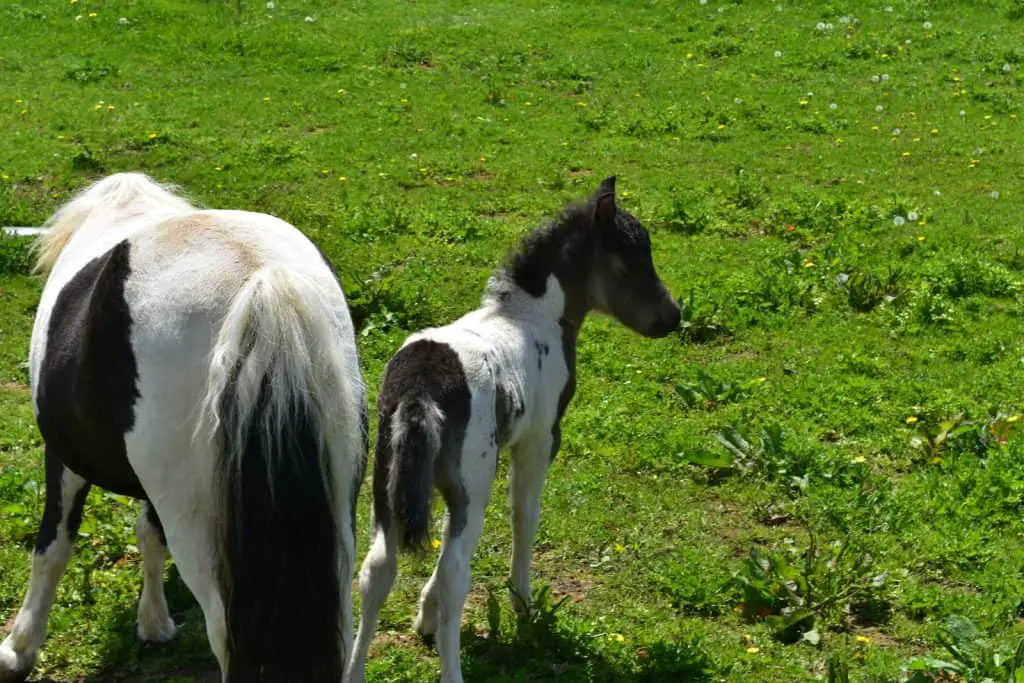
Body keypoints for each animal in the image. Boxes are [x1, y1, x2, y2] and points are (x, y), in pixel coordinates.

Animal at [0, 175, 368, 683]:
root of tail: (261, 278)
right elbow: (148, 535)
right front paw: (154, 623)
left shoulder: (64, 457)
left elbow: (52, 545)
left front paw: (18, 648)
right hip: (335, 523)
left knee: (228, 636)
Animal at [350, 178, 679, 683]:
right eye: (629, 263)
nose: (672, 316)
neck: (531, 315)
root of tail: (418, 391)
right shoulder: (539, 438)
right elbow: (525, 514)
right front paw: (523, 604)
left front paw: (423, 616)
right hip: (473, 479)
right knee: (456, 573)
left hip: (388, 480)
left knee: (377, 569)